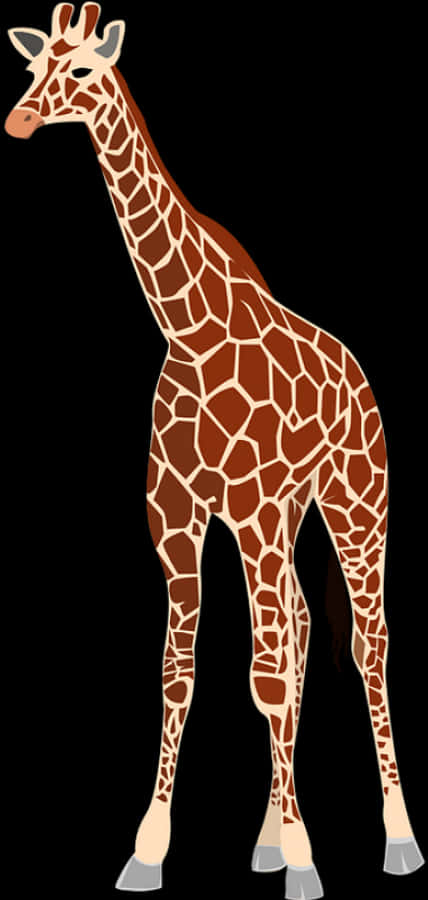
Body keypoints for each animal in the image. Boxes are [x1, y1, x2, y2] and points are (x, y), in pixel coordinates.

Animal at [5, 5, 424, 897]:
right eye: (30, 68)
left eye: (83, 72)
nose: (19, 120)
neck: (187, 329)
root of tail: (362, 378)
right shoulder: (176, 517)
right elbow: (182, 672)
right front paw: (149, 850)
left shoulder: (254, 507)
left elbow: (265, 676)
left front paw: (306, 859)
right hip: (286, 514)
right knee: (299, 624)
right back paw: (266, 838)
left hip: (354, 500)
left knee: (363, 643)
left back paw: (397, 838)